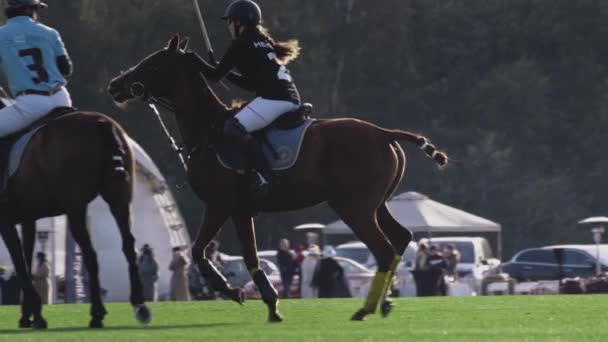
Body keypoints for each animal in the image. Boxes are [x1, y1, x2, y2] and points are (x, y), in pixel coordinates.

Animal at [0, 103, 150, 328]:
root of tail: (102, 123)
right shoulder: (27, 219)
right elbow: (26, 259)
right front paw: (28, 315)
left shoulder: (6, 221)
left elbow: (21, 265)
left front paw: (37, 314)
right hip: (119, 198)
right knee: (128, 244)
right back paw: (139, 305)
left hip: (75, 205)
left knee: (90, 253)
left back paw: (97, 312)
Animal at [108, 36, 446, 322]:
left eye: (154, 63)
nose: (115, 85)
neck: (208, 131)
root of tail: (384, 133)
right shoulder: (241, 210)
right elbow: (245, 255)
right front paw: (269, 303)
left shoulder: (221, 205)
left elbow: (203, 252)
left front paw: (238, 293)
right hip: (377, 204)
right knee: (400, 238)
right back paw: (384, 302)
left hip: (354, 207)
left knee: (384, 249)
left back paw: (365, 309)